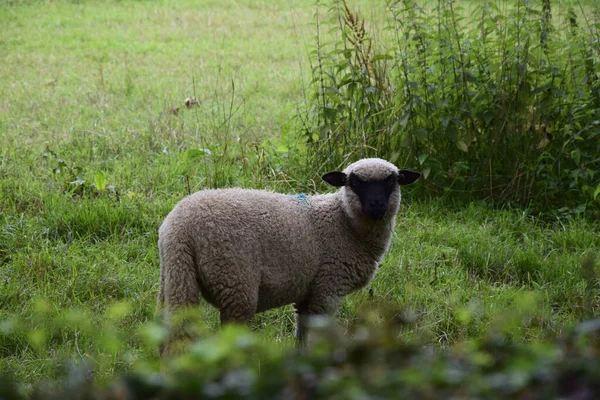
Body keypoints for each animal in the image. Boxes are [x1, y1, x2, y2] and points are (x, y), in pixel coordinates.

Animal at [158, 158, 422, 352]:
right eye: (354, 183)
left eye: (391, 181)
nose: (376, 206)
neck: (342, 222)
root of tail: (179, 226)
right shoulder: (328, 286)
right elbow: (318, 336)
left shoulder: (307, 291)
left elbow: (302, 337)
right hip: (235, 281)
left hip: (175, 277)